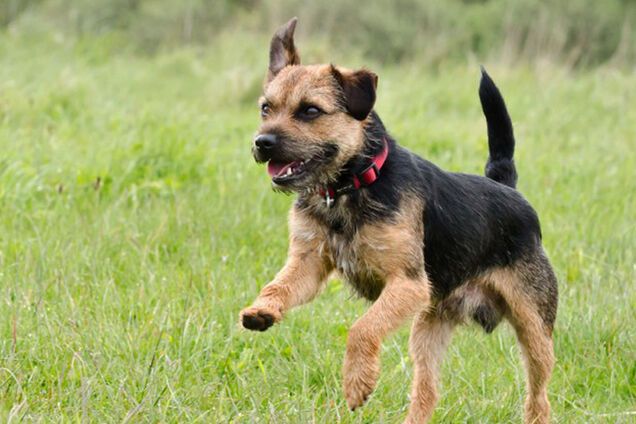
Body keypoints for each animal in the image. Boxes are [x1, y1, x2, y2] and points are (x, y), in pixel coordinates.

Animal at [241, 17, 560, 424]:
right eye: (266, 108)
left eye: (310, 111)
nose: (262, 142)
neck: (350, 186)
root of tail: (507, 188)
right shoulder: (309, 264)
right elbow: (278, 285)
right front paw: (261, 310)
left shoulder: (406, 284)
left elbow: (362, 328)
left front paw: (357, 382)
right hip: (427, 330)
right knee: (427, 390)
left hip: (534, 328)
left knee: (539, 394)